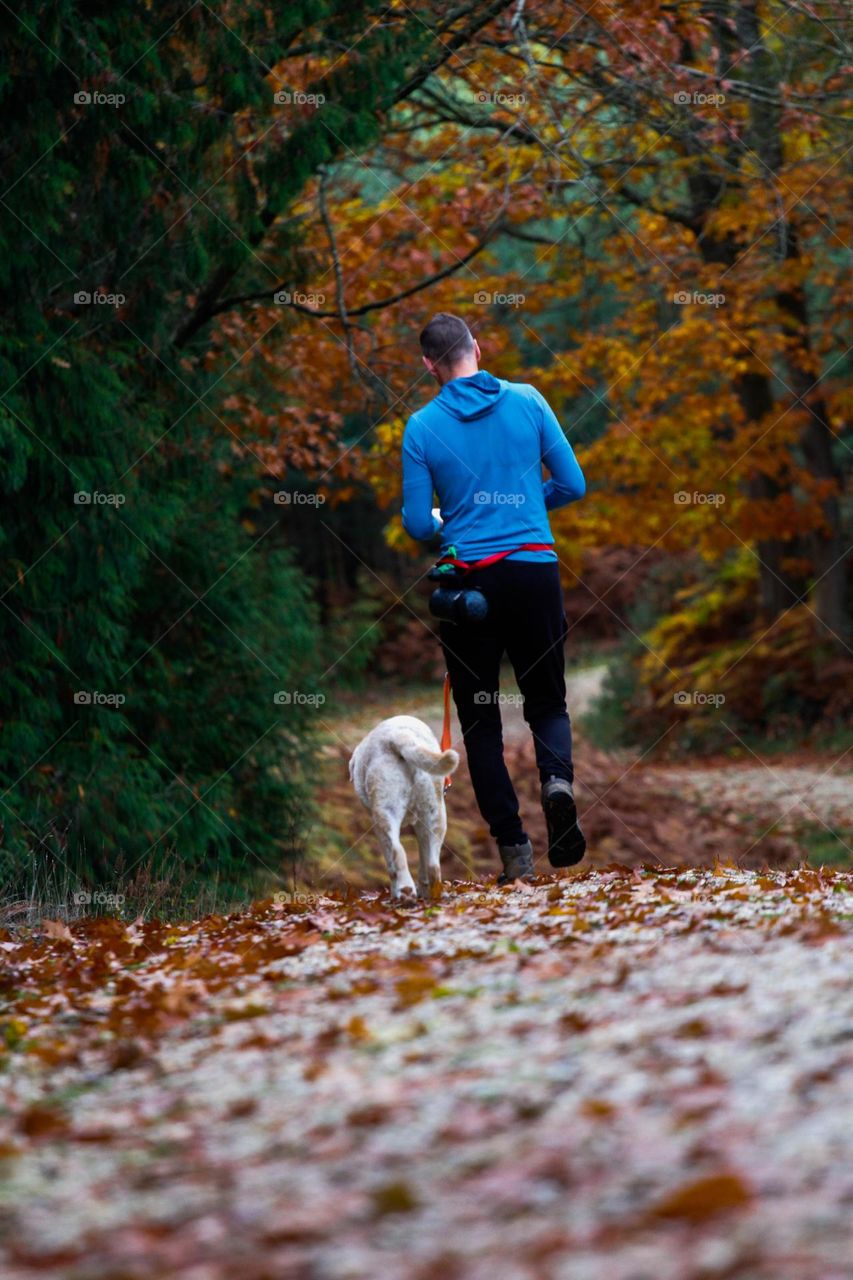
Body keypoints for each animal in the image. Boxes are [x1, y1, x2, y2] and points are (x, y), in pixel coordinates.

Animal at [348, 716, 458, 906]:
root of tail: (399, 737)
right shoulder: (422, 826)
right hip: (436, 816)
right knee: (433, 865)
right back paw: (433, 894)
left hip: (385, 815)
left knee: (397, 852)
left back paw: (404, 892)